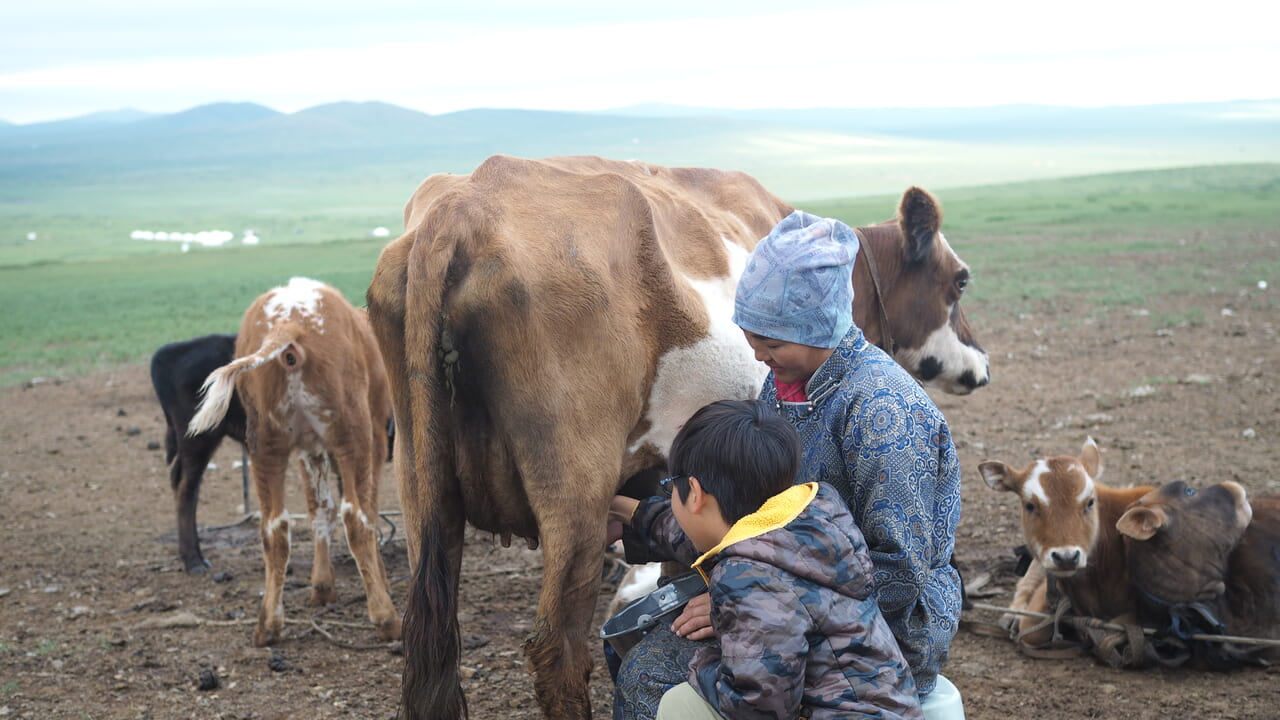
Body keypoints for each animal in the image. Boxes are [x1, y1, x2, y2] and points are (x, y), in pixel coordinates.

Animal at [188, 275, 399, 645]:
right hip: (353, 434)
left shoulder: (308, 449)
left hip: (265, 443)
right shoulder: (372, 438)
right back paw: (386, 618)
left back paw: (268, 625)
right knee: (356, 517)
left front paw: (322, 586)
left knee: (275, 526)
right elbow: (366, 510)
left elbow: (319, 510)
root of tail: (290, 320)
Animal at [368, 154, 988, 712]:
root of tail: (463, 207)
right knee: (557, 652)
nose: (981, 364)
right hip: (574, 491)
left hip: (423, 491)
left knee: (432, 656)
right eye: (959, 280)